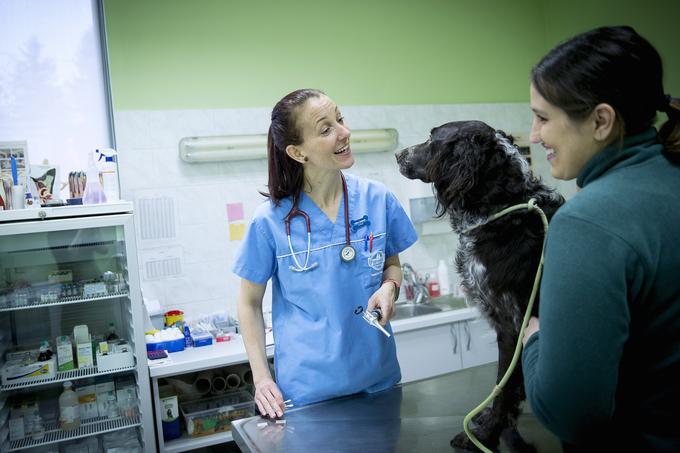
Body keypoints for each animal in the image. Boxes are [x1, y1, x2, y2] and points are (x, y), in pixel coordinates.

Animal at [396, 119, 564, 448]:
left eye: (432, 139)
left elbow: (506, 385)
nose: (398, 154)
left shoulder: (517, 323)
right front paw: (488, 421)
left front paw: (485, 434)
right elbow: (502, 381)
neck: (501, 211)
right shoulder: (502, 322)